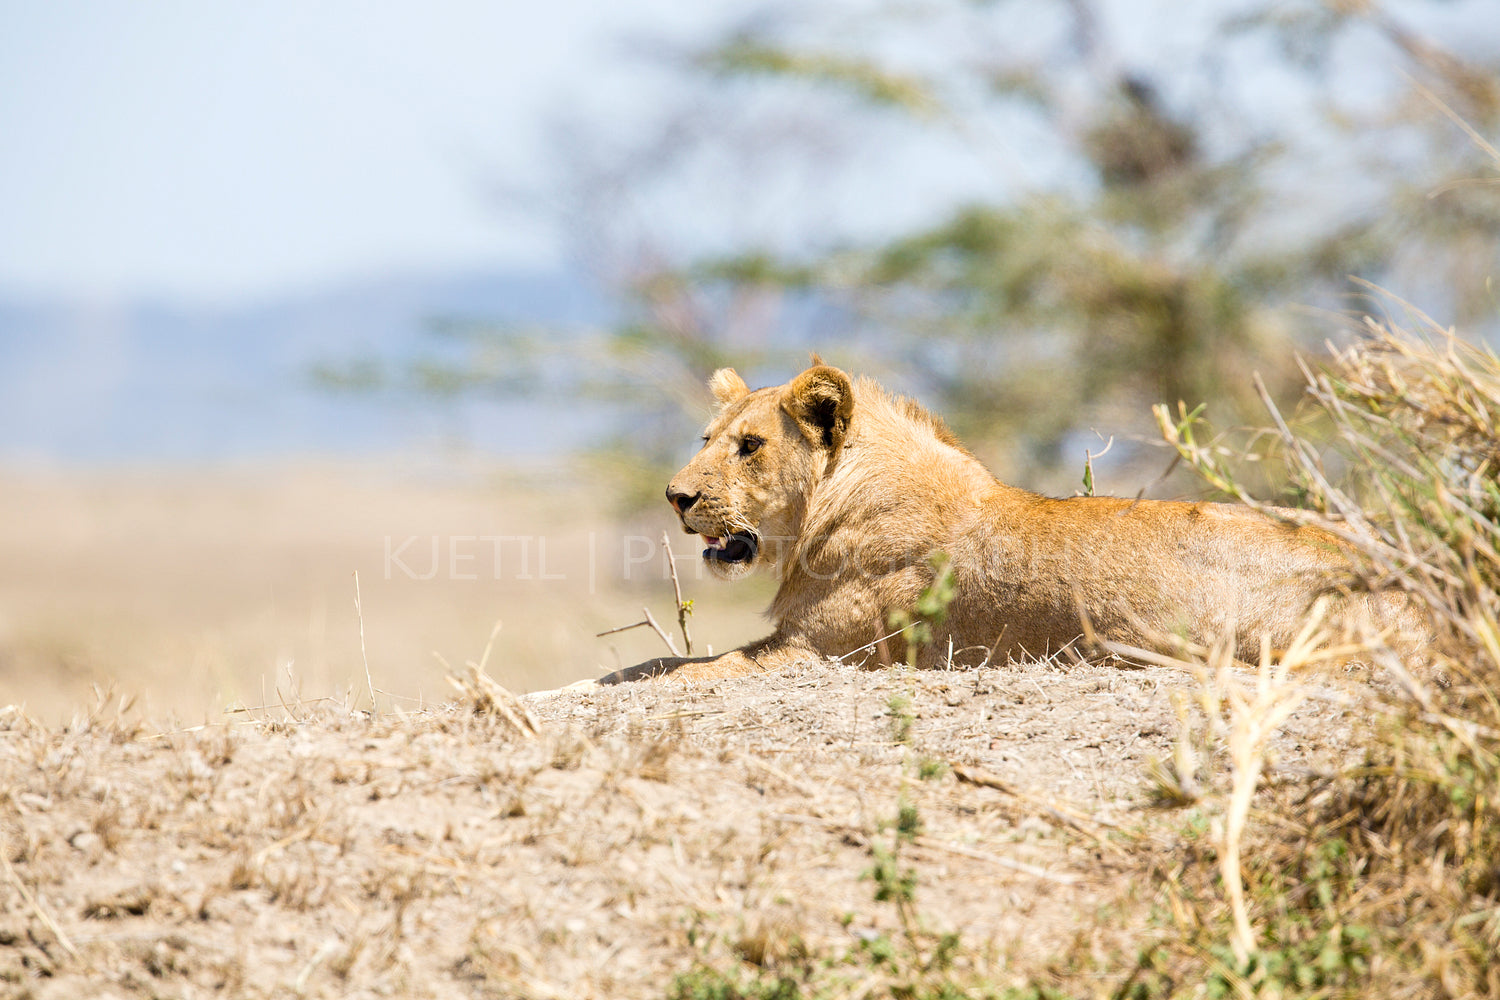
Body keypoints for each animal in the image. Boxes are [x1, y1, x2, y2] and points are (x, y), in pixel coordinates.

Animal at [594, 364, 1404, 683]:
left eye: (751, 446)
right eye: (707, 438)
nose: (674, 496)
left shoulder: (816, 654)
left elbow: (676, 669)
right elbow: (656, 664)